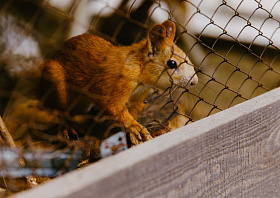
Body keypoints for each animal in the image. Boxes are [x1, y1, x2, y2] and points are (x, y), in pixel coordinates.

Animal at [40, 20, 198, 145]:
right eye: (172, 63)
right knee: (60, 111)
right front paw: (135, 128)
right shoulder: (116, 83)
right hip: (55, 79)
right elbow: (113, 106)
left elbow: (132, 111)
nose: (194, 82)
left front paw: (132, 130)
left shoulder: (139, 95)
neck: (139, 71)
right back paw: (69, 126)